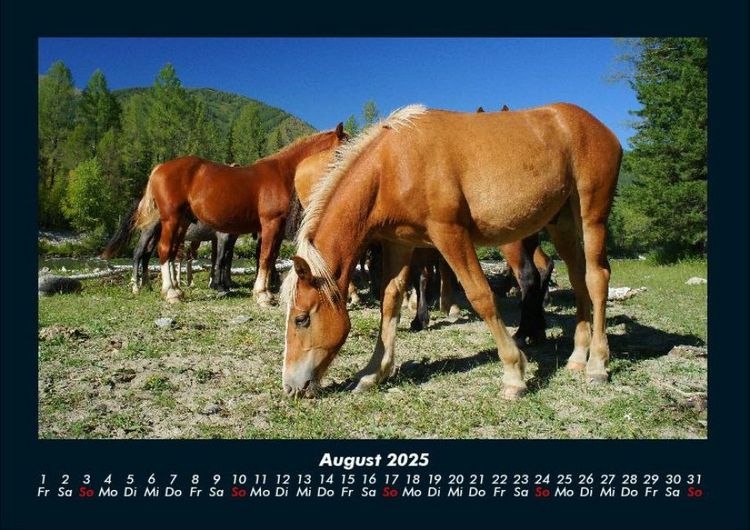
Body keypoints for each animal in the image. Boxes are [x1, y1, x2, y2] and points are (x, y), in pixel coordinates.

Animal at [134, 124, 348, 305]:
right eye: (342, 148)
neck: (282, 172)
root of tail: (159, 168)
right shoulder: (270, 223)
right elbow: (265, 257)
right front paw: (262, 295)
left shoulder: (277, 228)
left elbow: (271, 257)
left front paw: (266, 292)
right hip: (171, 219)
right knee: (163, 250)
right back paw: (170, 292)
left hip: (182, 221)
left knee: (171, 252)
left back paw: (176, 290)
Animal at [281, 103, 622, 399]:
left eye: (301, 319)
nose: (291, 386)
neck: (394, 164)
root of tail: (598, 126)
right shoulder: (400, 244)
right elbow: (389, 301)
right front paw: (373, 372)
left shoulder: (450, 234)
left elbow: (480, 296)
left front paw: (514, 374)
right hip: (562, 223)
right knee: (578, 279)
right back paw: (577, 356)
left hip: (591, 217)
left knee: (597, 278)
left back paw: (597, 364)